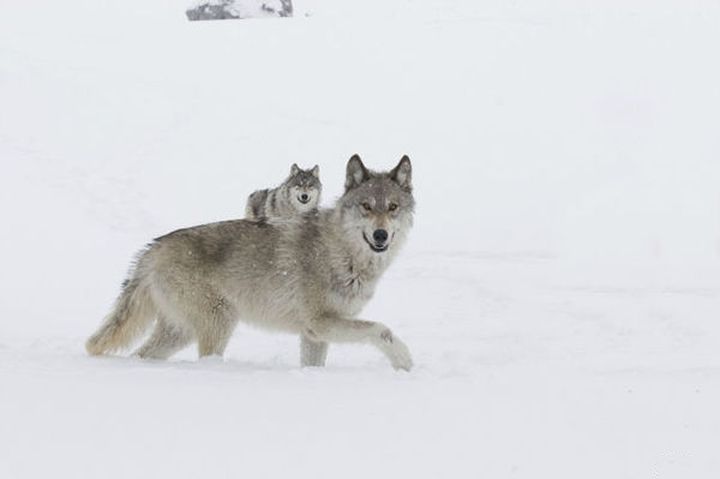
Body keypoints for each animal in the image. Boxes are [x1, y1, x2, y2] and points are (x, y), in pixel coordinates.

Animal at [86, 155, 416, 372]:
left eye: (392, 207)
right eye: (366, 206)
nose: (380, 235)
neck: (343, 252)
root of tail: (151, 249)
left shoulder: (314, 334)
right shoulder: (320, 322)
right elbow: (382, 329)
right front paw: (404, 361)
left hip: (180, 332)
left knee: (141, 355)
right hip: (219, 322)